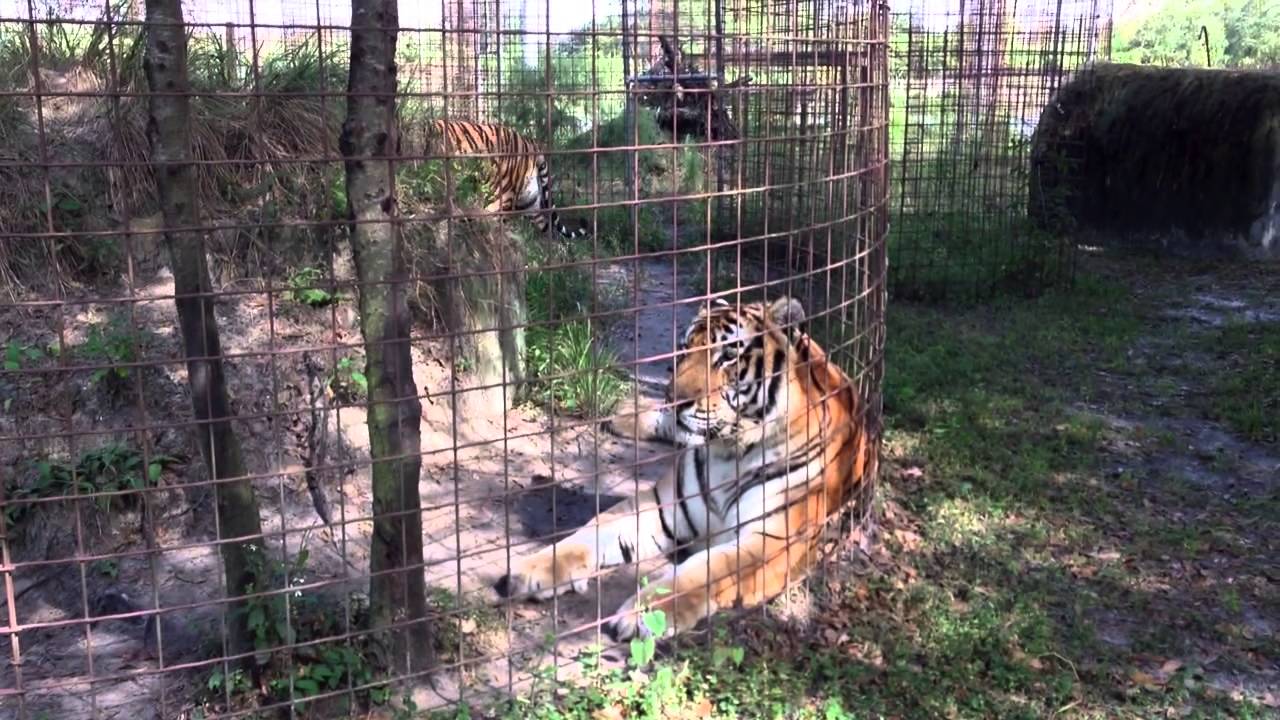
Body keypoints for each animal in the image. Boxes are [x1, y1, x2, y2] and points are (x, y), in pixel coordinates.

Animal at [496, 296, 877, 641]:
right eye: (684, 349)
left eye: (728, 356)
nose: (674, 399)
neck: (730, 453)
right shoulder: (662, 507)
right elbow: (588, 533)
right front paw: (529, 570)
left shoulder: (773, 540)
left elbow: (706, 570)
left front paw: (644, 614)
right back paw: (622, 418)